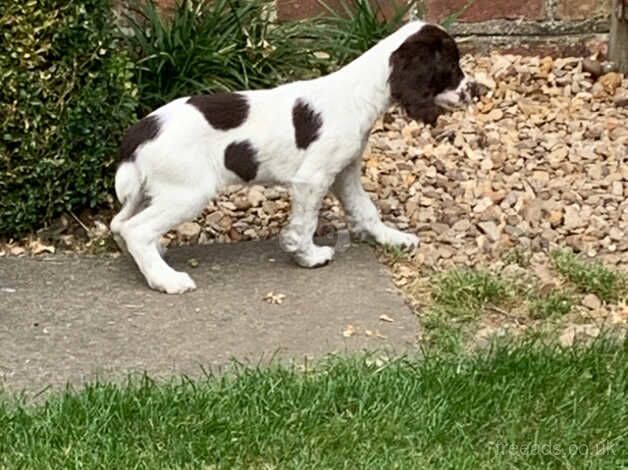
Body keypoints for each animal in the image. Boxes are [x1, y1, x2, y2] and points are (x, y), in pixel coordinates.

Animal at [110, 23, 478, 294]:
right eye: (451, 67)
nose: (476, 91)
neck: (358, 93)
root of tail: (139, 131)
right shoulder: (313, 179)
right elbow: (306, 223)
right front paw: (308, 256)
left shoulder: (344, 172)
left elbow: (366, 210)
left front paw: (393, 238)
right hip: (187, 192)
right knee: (135, 230)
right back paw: (166, 280)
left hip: (150, 191)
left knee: (120, 224)